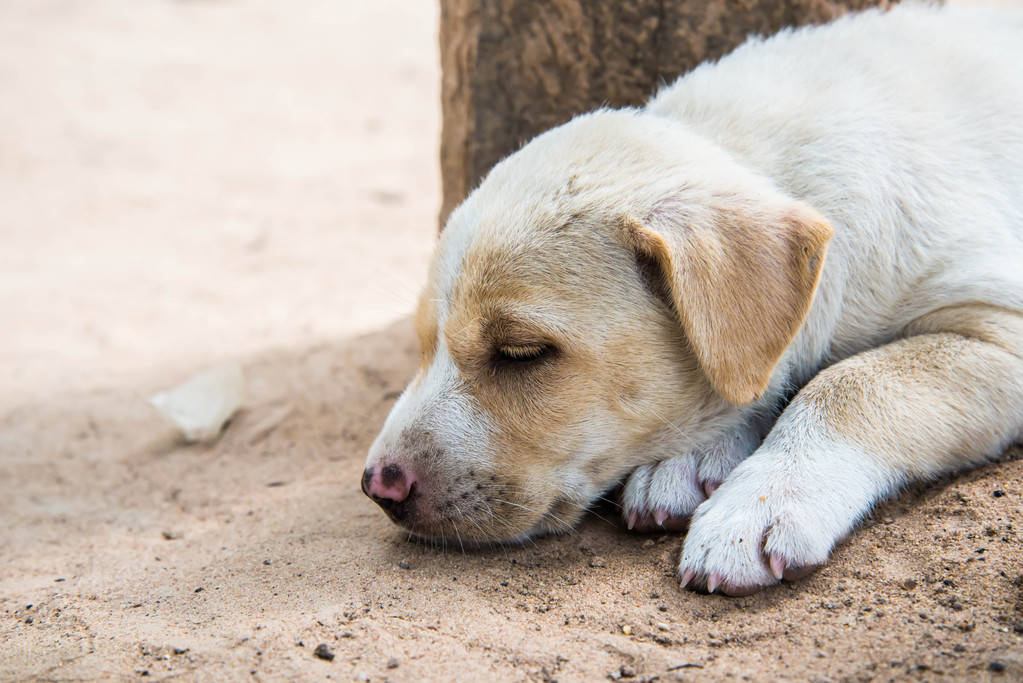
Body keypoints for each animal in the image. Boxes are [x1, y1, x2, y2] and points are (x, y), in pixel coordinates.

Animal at [362, 2, 1023, 593]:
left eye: (522, 353)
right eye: (423, 345)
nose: (378, 485)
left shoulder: (998, 323)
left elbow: (849, 383)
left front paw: (761, 502)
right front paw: (691, 457)